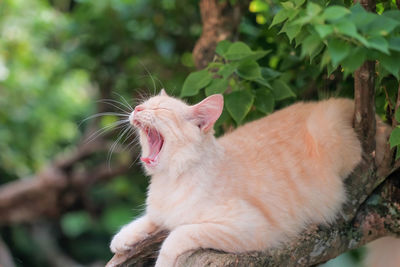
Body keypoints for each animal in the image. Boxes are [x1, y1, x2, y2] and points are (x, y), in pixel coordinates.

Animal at [110, 91, 372, 266]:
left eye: (160, 109)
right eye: (144, 104)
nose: (137, 109)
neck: (170, 179)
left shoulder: (250, 226)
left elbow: (177, 235)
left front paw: (162, 260)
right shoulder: (160, 214)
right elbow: (148, 220)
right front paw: (122, 237)